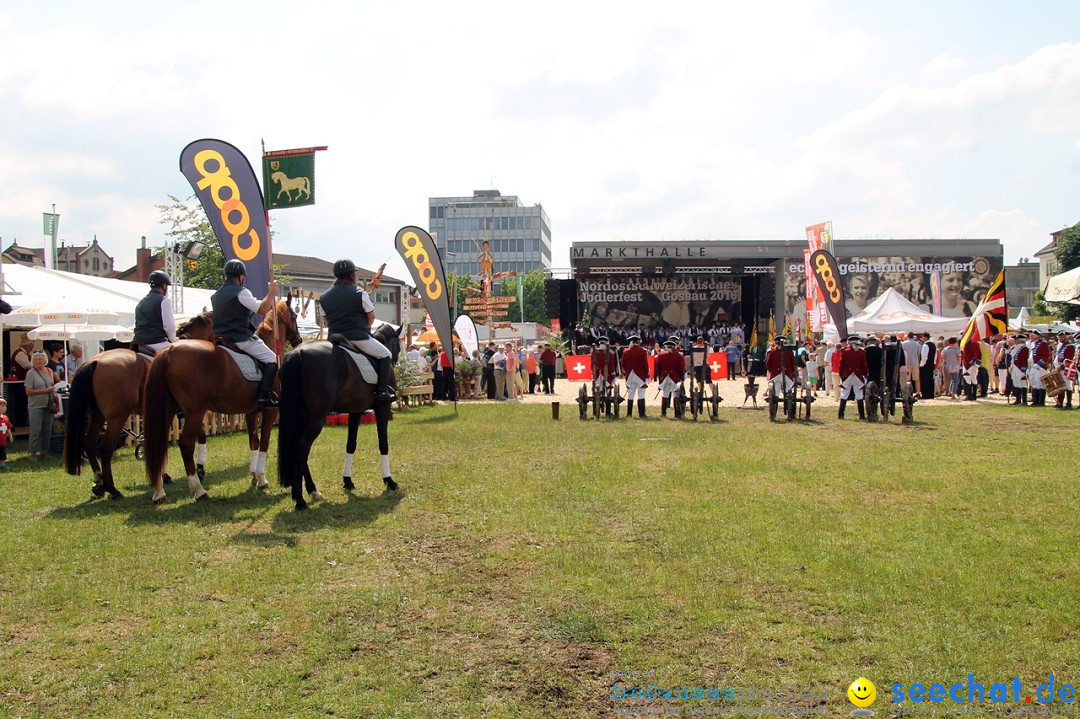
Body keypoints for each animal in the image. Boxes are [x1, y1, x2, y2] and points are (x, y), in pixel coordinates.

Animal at [63, 310, 217, 496]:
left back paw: (98, 483)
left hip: (98, 416)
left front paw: (164, 477)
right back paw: (112, 489)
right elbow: (200, 436)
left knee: (89, 443)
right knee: (105, 448)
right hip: (117, 418)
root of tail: (96, 361)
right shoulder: (189, 411)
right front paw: (199, 471)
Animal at [140, 300, 300, 500]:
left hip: (169, 410)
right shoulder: (270, 411)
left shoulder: (251, 412)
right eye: (294, 315)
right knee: (186, 444)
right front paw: (262, 479)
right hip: (194, 412)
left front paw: (254, 478)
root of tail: (168, 351)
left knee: (158, 444)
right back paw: (198, 489)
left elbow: (253, 442)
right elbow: (264, 442)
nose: (299, 340)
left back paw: (159, 491)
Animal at [276, 319, 403, 509]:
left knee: (300, 448)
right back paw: (299, 498)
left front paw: (348, 481)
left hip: (301, 415)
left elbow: (351, 444)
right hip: (316, 417)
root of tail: (297, 352)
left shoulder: (356, 411)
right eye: (399, 345)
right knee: (302, 447)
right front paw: (389, 481)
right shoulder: (383, 407)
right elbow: (383, 444)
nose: (395, 360)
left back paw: (313, 491)